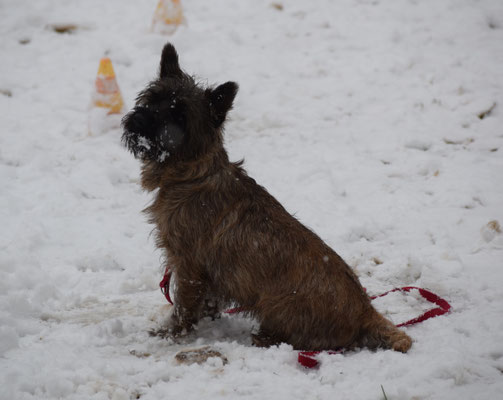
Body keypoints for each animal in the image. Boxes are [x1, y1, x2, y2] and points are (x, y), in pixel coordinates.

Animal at [122, 42, 414, 352]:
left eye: (180, 115)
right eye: (153, 98)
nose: (139, 119)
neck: (193, 174)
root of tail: (365, 314)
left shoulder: (188, 265)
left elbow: (184, 306)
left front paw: (171, 334)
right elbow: (207, 303)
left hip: (278, 306)